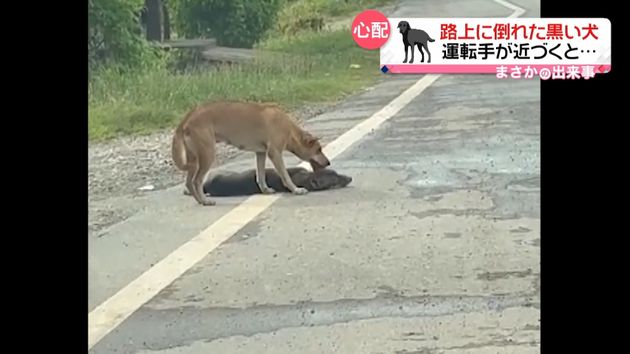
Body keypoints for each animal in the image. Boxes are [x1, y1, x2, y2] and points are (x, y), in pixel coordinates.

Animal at [170, 100, 334, 205]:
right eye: (319, 150)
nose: (328, 162)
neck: (289, 130)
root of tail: (188, 117)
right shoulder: (274, 153)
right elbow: (285, 176)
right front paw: (296, 189)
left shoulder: (260, 153)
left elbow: (260, 176)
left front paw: (265, 190)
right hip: (207, 154)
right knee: (196, 181)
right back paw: (204, 200)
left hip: (194, 158)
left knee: (189, 182)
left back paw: (199, 199)